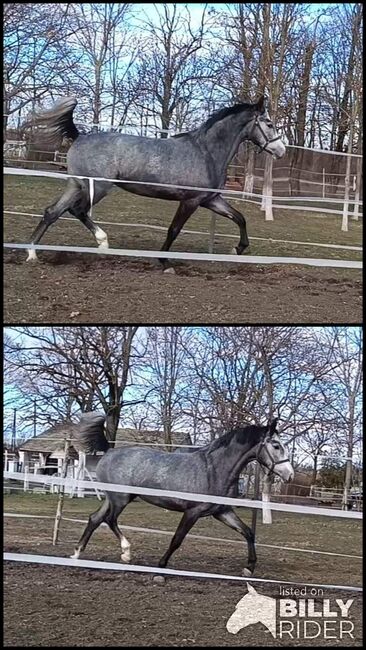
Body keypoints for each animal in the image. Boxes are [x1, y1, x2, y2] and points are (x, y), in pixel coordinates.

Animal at [23, 93, 286, 268]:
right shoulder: (190, 201)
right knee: (77, 211)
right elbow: (174, 229)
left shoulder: (210, 200)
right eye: (269, 123)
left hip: (76, 185)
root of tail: (79, 137)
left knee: (52, 212)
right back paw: (103, 243)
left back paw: (32, 254)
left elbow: (239, 218)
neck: (207, 152)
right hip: (97, 187)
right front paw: (164, 261)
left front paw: (237, 249)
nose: (281, 150)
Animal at [72, 416, 294, 572]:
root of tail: (109, 452)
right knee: (109, 520)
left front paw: (249, 567)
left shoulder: (222, 512)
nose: (290, 474)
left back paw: (77, 554)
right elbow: (177, 539)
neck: (214, 470)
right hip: (120, 499)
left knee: (95, 518)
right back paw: (126, 553)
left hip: (114, 498)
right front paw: (161, 565)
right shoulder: (192, 512)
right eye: (276, 445)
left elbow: (248, 532)